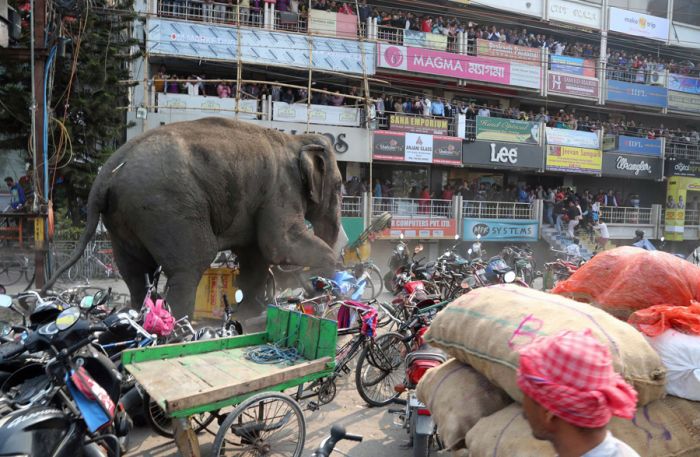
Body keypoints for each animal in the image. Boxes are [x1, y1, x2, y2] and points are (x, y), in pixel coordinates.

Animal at [41, 117, 342, 318]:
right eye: (340, 186)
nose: (312, 288)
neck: (296, 141)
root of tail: (107, 173)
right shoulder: (281, 188)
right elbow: (279, 244)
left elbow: (254, 255)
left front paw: (250, 314)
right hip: (167, 206)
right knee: (191, 263)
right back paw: (178, 327)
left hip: (122, 217)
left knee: (136, 272)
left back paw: (139, 316)